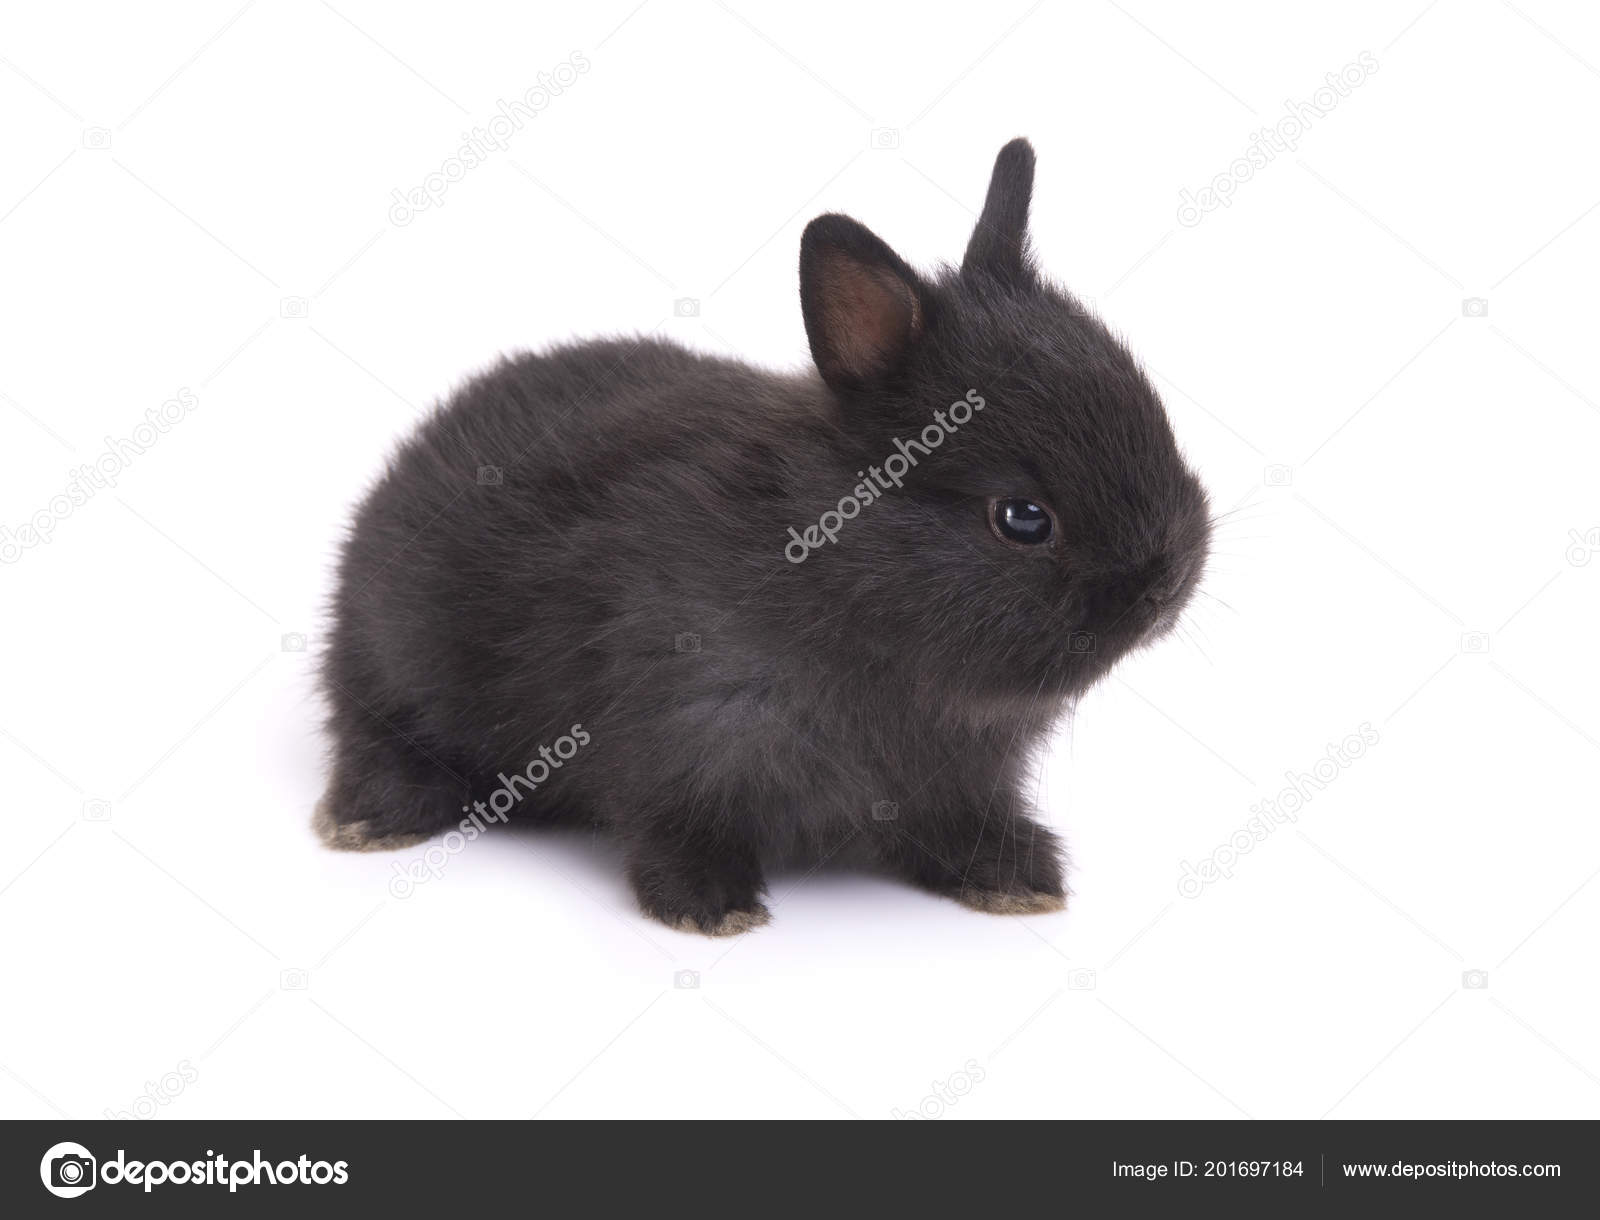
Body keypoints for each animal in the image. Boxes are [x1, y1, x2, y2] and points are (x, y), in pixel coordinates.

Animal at [318, 140, 1203, 928]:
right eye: (1023, 518)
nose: (1161, 588)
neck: (838, 576)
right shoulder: (678, 731)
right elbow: (672, 819)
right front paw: (708, 905)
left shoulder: (962, 776)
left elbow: (961, 820)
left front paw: (1017, 879)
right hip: (392, 658)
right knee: (369, 725)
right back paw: (369, 819)